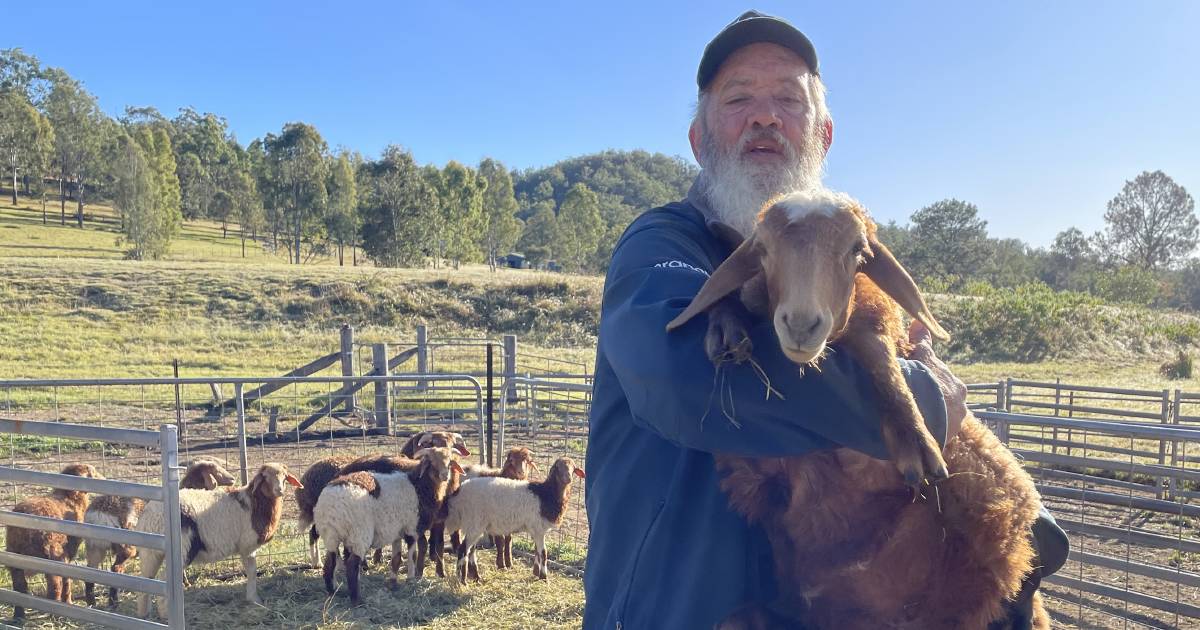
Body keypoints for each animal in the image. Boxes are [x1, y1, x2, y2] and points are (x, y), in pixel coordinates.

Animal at [5, 460, 102, 619]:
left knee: (19, 587)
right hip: (52, 554)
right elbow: (67, 580)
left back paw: (19, 616)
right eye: (92, 472)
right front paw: (68, 602)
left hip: (14, 556)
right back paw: (55, 613)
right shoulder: (68, 551)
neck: (69, 498)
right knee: (54, 587)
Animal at [133, 458, 302, 614]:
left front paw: (253, 598)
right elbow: (252, 572)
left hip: (150, 552)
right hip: (181, 549)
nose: (279, 490)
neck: (256, 503)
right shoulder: (247, 546)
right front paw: (255, 599)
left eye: (285, 476)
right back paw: (165, 614)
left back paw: (145, 614)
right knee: (163, 580)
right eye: (265, 477)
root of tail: (151, 515)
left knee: (146, 581)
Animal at [312, 444, 460, 602]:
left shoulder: (396, 531)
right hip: (358, 534)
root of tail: (332, 503)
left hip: (331, 535)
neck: (419, 484)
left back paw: (332, 592)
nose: (445, 476)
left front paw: (393, 581)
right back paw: (357, 600)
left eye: (450, 462)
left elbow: (396, 559)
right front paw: (410, 579)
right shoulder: (411, 528)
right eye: (431, 462)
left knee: (329, 563)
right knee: (352, 565)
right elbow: (412, 555)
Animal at [448, 453, 583, 583]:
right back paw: (462, 580)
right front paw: (544, 577)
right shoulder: (538, 528)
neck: (546, 493)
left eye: (573, 468)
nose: (568, 478)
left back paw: (475, 577)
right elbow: (543, 553)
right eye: (558, 468)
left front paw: (536, 573)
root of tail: (461, 490)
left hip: (474, 525)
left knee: (471, 550)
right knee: (463, 549)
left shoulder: (537, 530)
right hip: (475, 523)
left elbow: (537, 552)